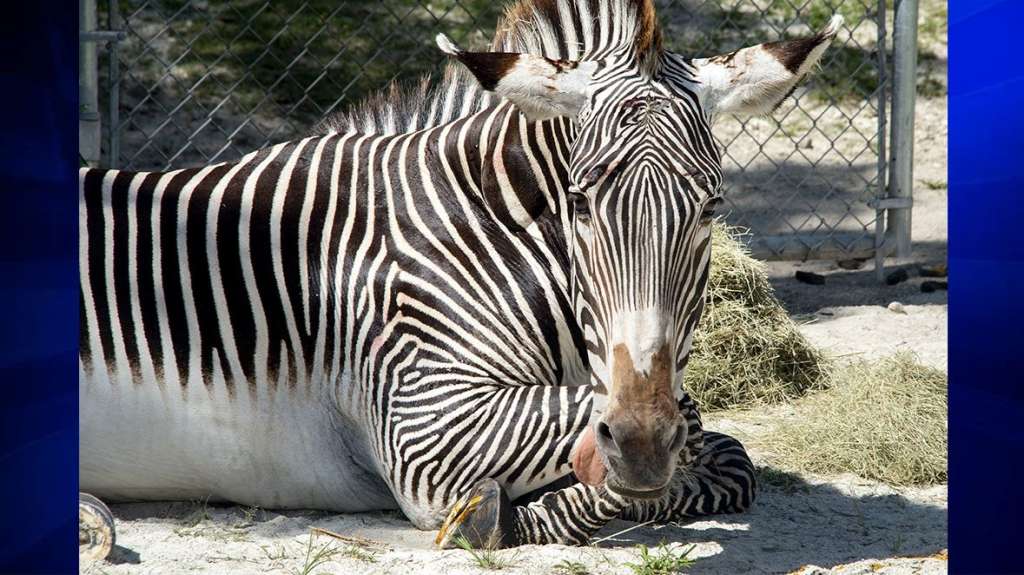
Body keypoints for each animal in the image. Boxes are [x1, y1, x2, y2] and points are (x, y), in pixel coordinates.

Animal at [79, 0, 841, 550]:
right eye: (579, 201)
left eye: (712, 207)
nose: (642, 442)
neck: (479, 233)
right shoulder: (421, 418)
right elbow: (689, 426)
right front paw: (505, 513)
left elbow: (728, 454)